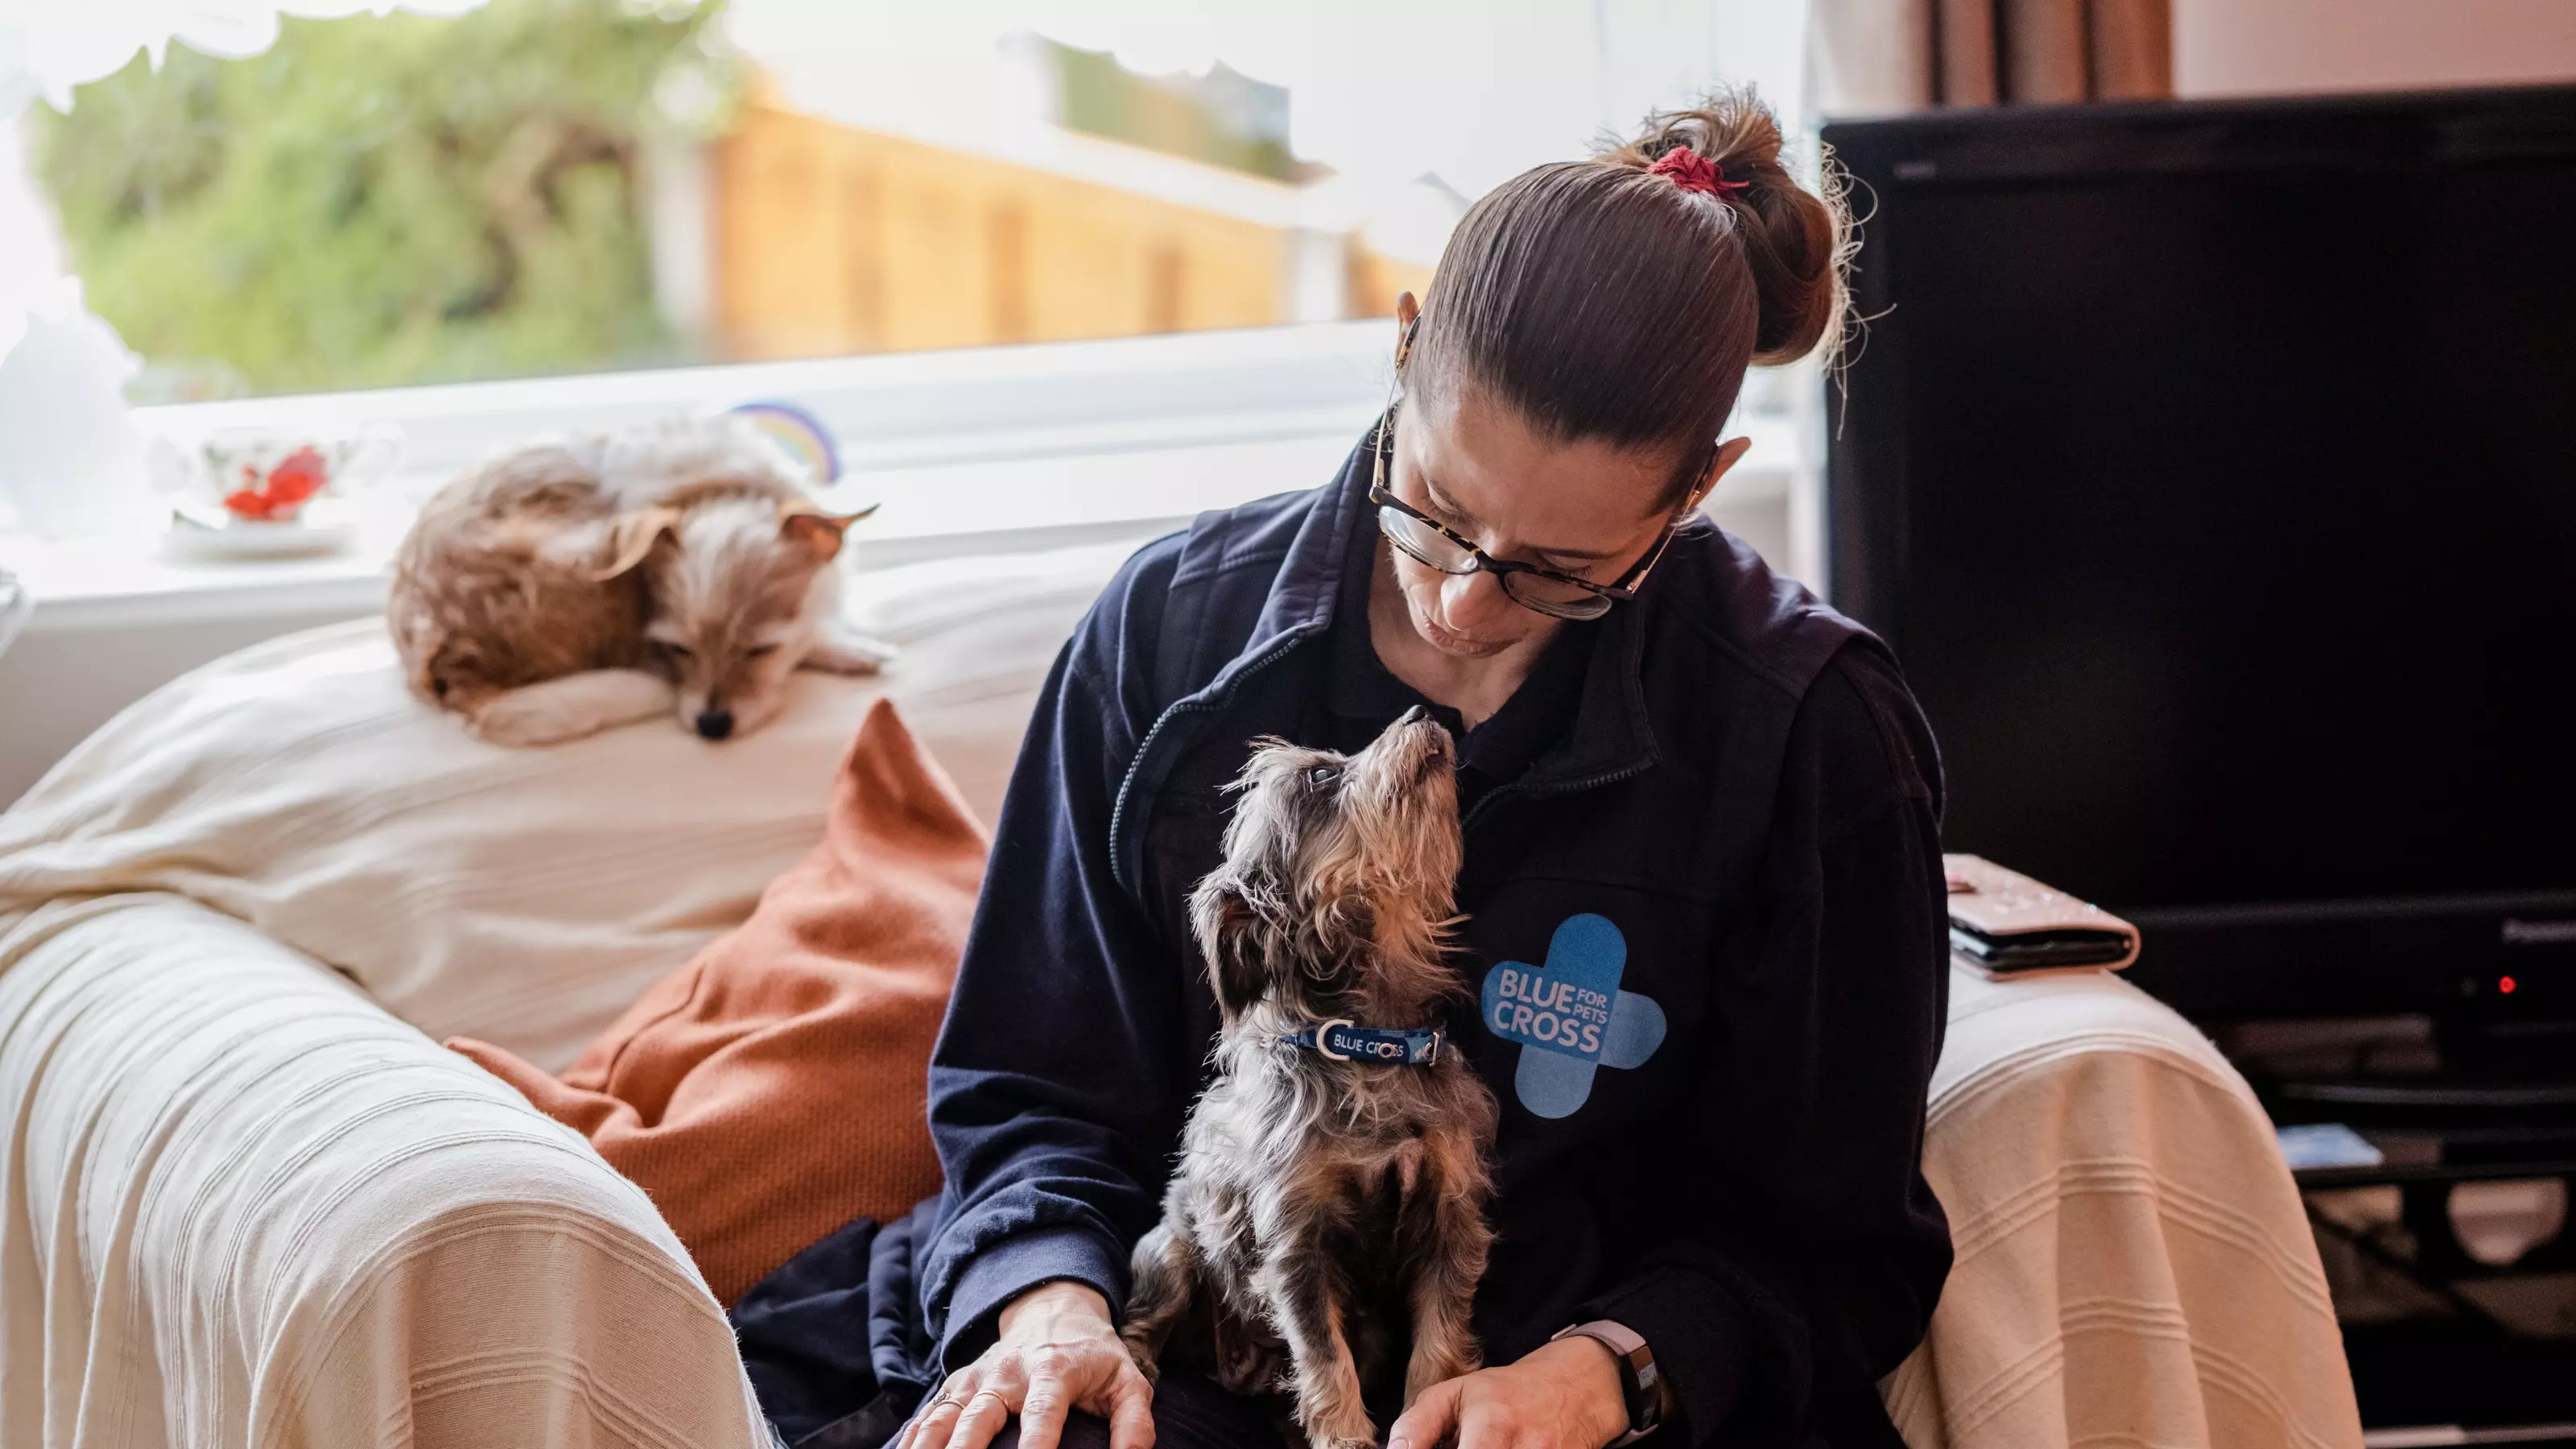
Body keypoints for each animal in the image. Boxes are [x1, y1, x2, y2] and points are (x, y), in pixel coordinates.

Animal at [386, 410, 896, 737]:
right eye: (677, 649)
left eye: (760, 651)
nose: (711, 727)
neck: (714, 493)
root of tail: (449, 667)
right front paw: (844, 647)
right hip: (596, 558)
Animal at [1117, 701, 1504, 1443]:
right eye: (1321, 778)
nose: (1420, 709)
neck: (1371, 1047)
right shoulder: (1297, 1248)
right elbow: (1325, 1362)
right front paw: (1345, 1435)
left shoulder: (1449, 1223)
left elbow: (1437, 1349)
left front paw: (1427, 1417)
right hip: (1171, 1249)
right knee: (1141, 1321)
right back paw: (1138, 1367)